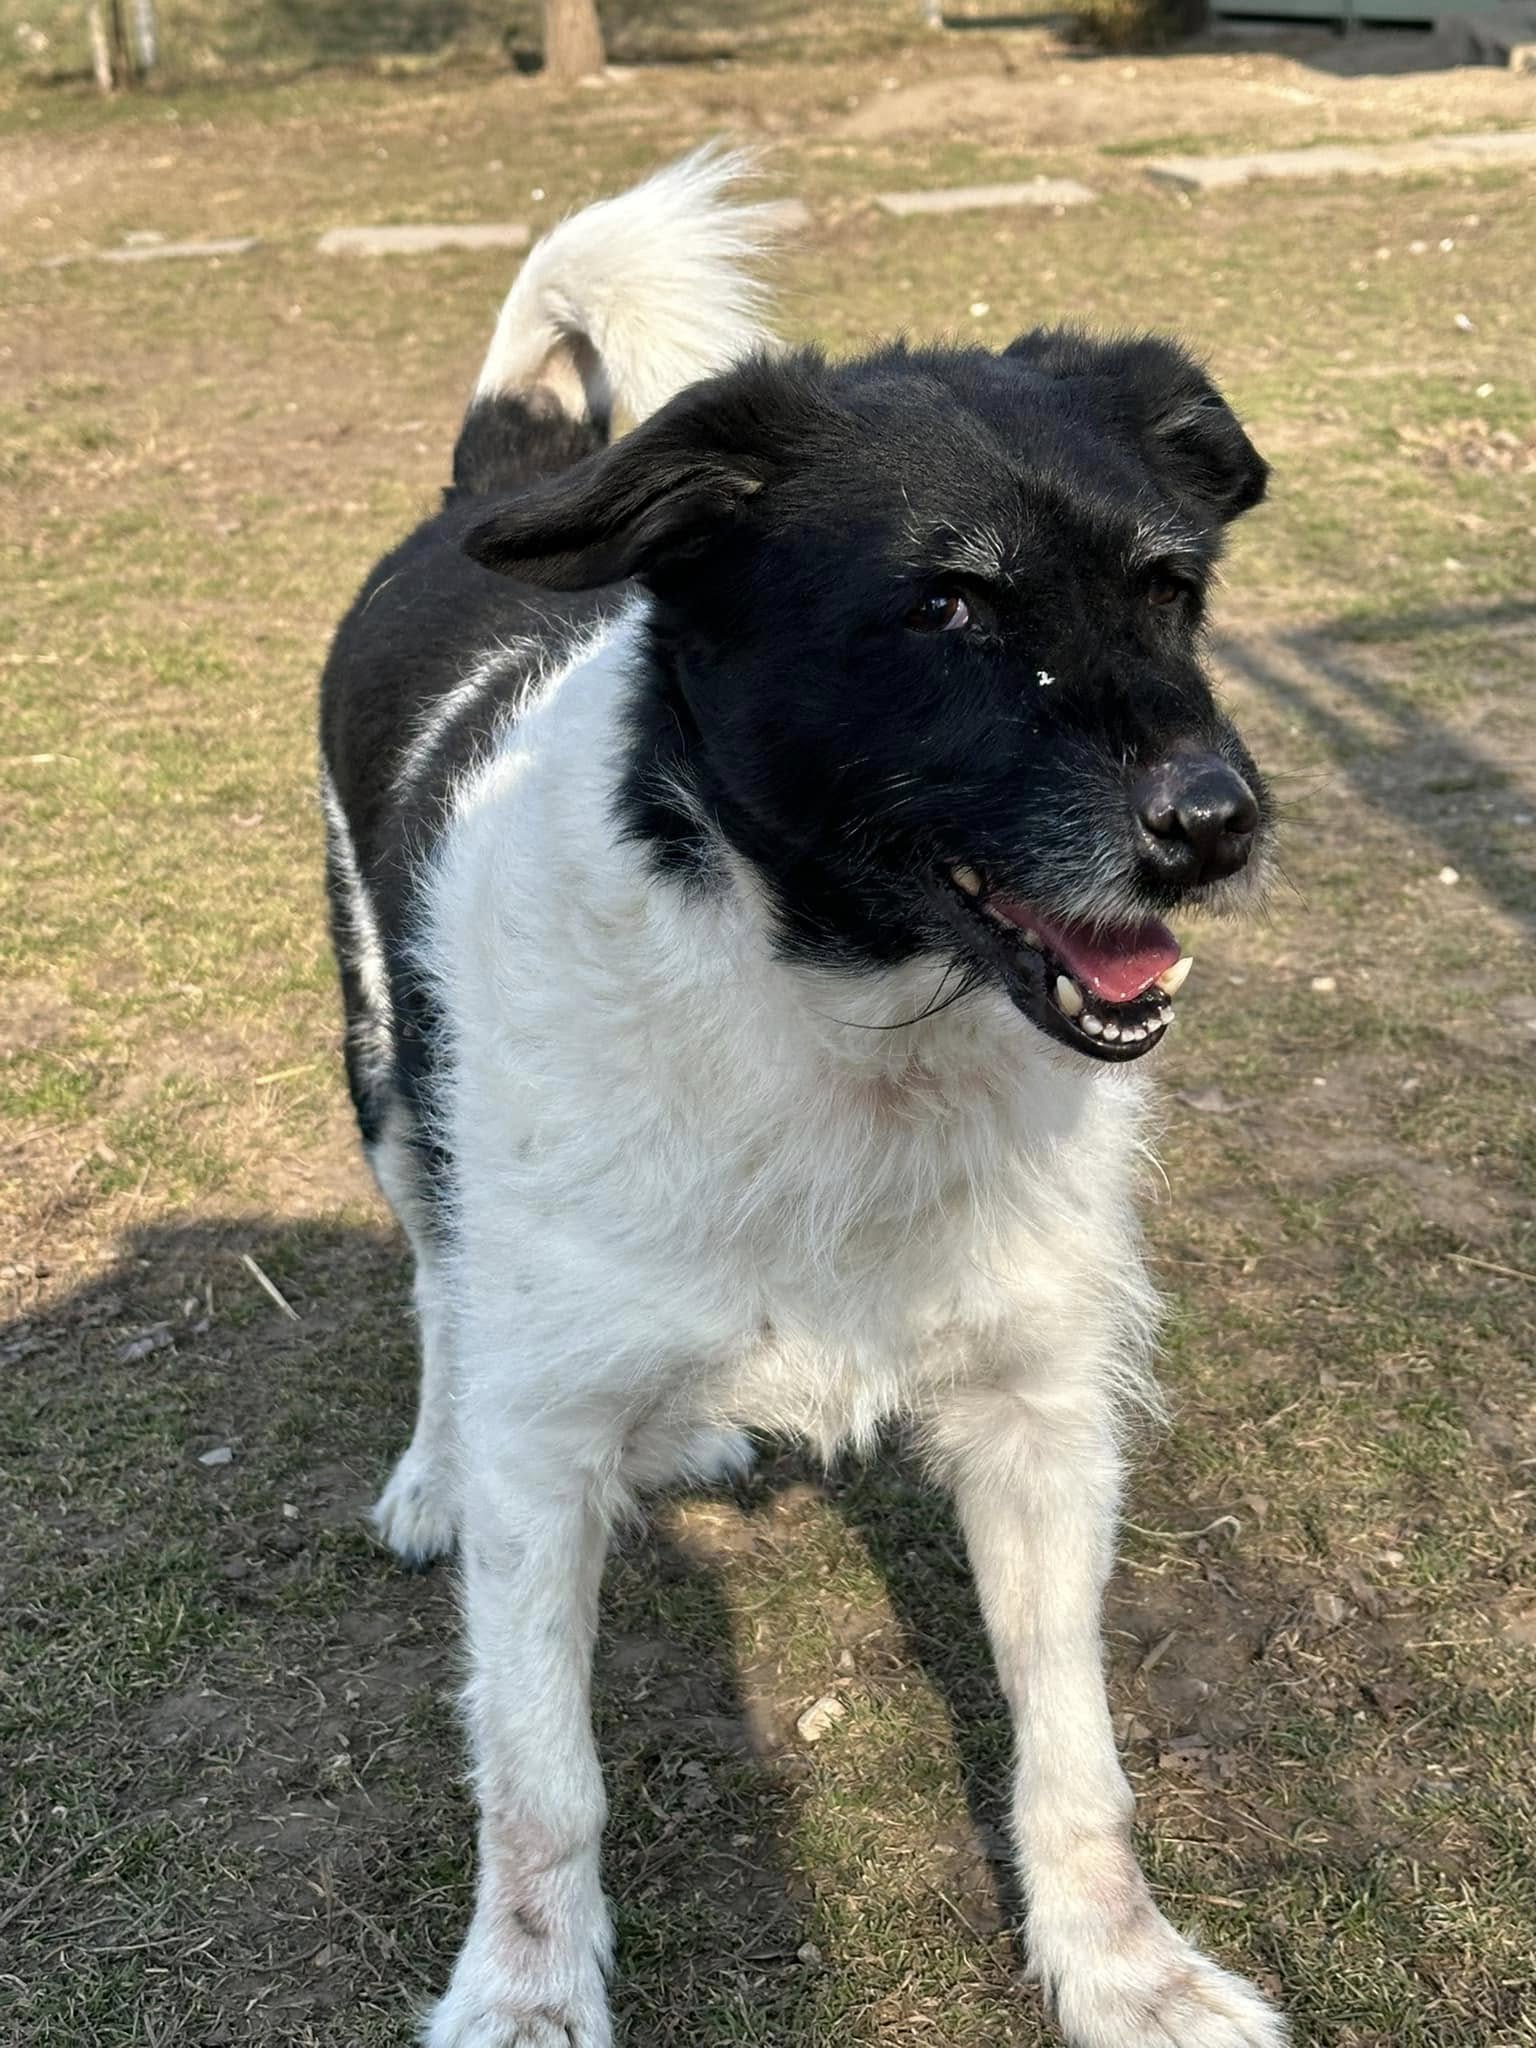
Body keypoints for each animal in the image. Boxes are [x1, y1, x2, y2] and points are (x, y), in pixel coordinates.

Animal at [319, 149, 1286, 2048]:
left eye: (1171, 589)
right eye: (945, 606)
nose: (1219, 822)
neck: (841, 1020)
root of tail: (507, 489)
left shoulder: (1041, 1417)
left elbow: (1077, 1753)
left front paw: (1123, 1972)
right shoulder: (543, 1455)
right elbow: (541, 1779)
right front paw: (525, 1993)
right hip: (391, 1087)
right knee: (438, 1284)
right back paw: (428, 1464)